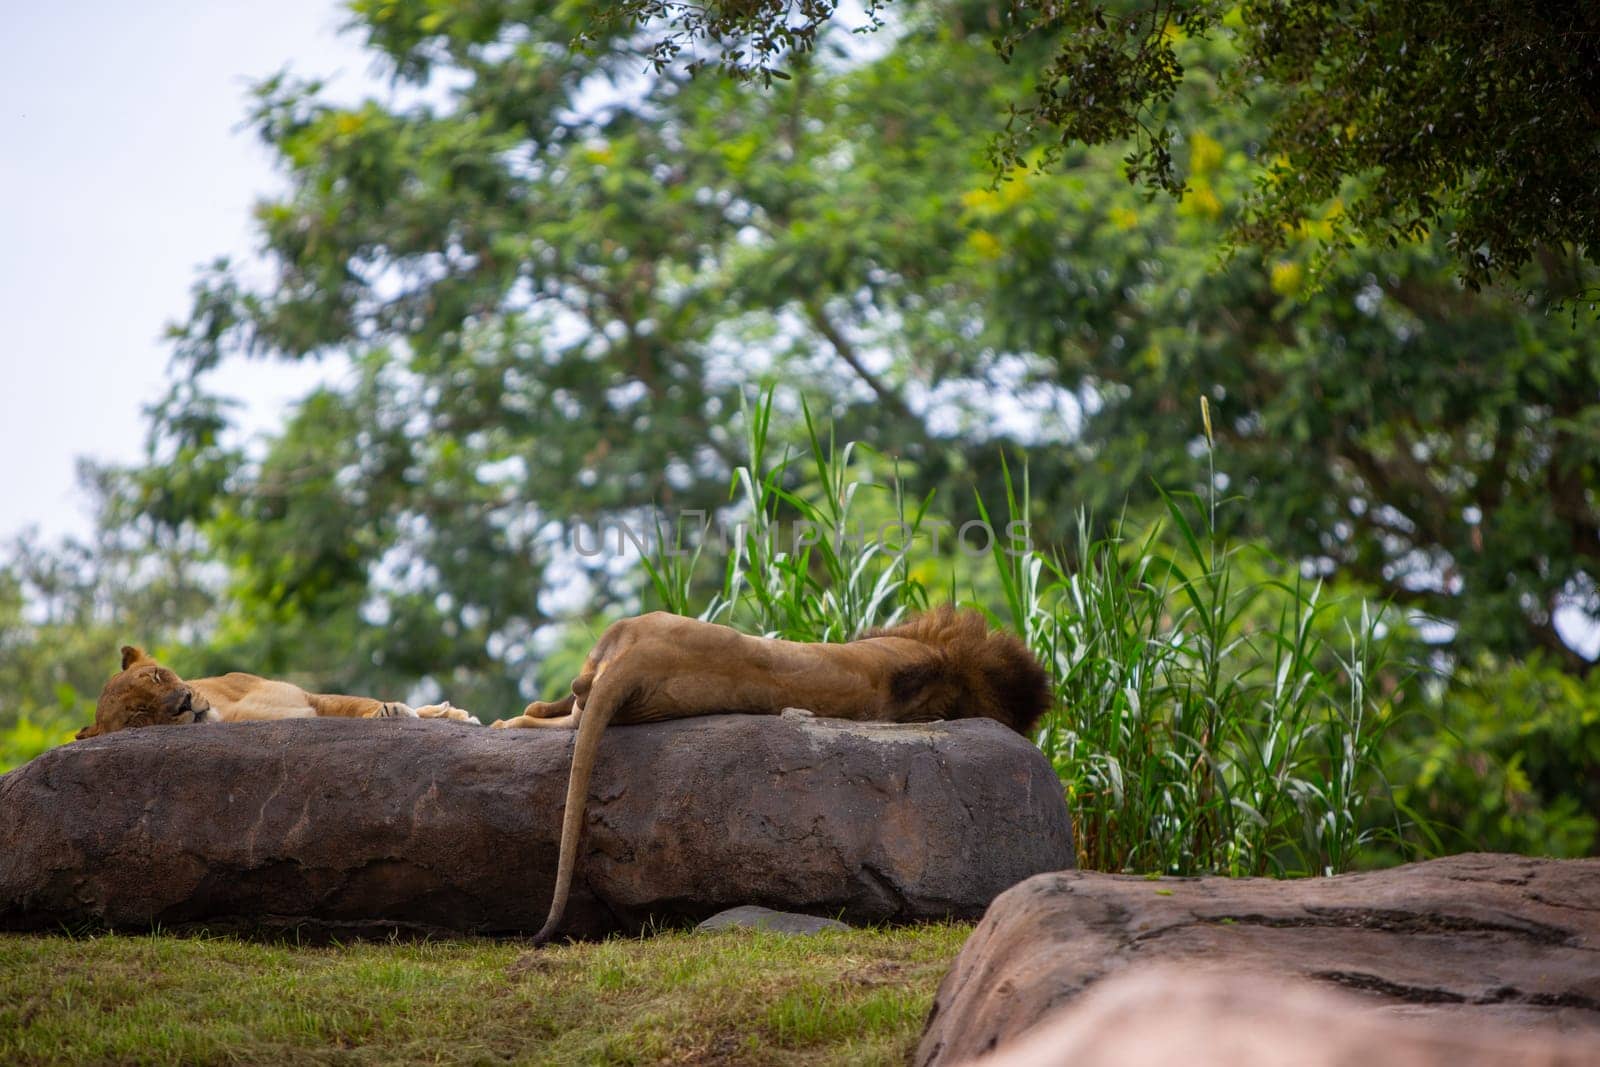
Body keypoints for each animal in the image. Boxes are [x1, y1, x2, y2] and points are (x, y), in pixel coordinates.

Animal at [492, 604, 1056, 947]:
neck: (943, 664)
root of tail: (644, 658)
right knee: (563, 703)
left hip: (622, 669)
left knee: (560, 715)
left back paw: (504, 722)